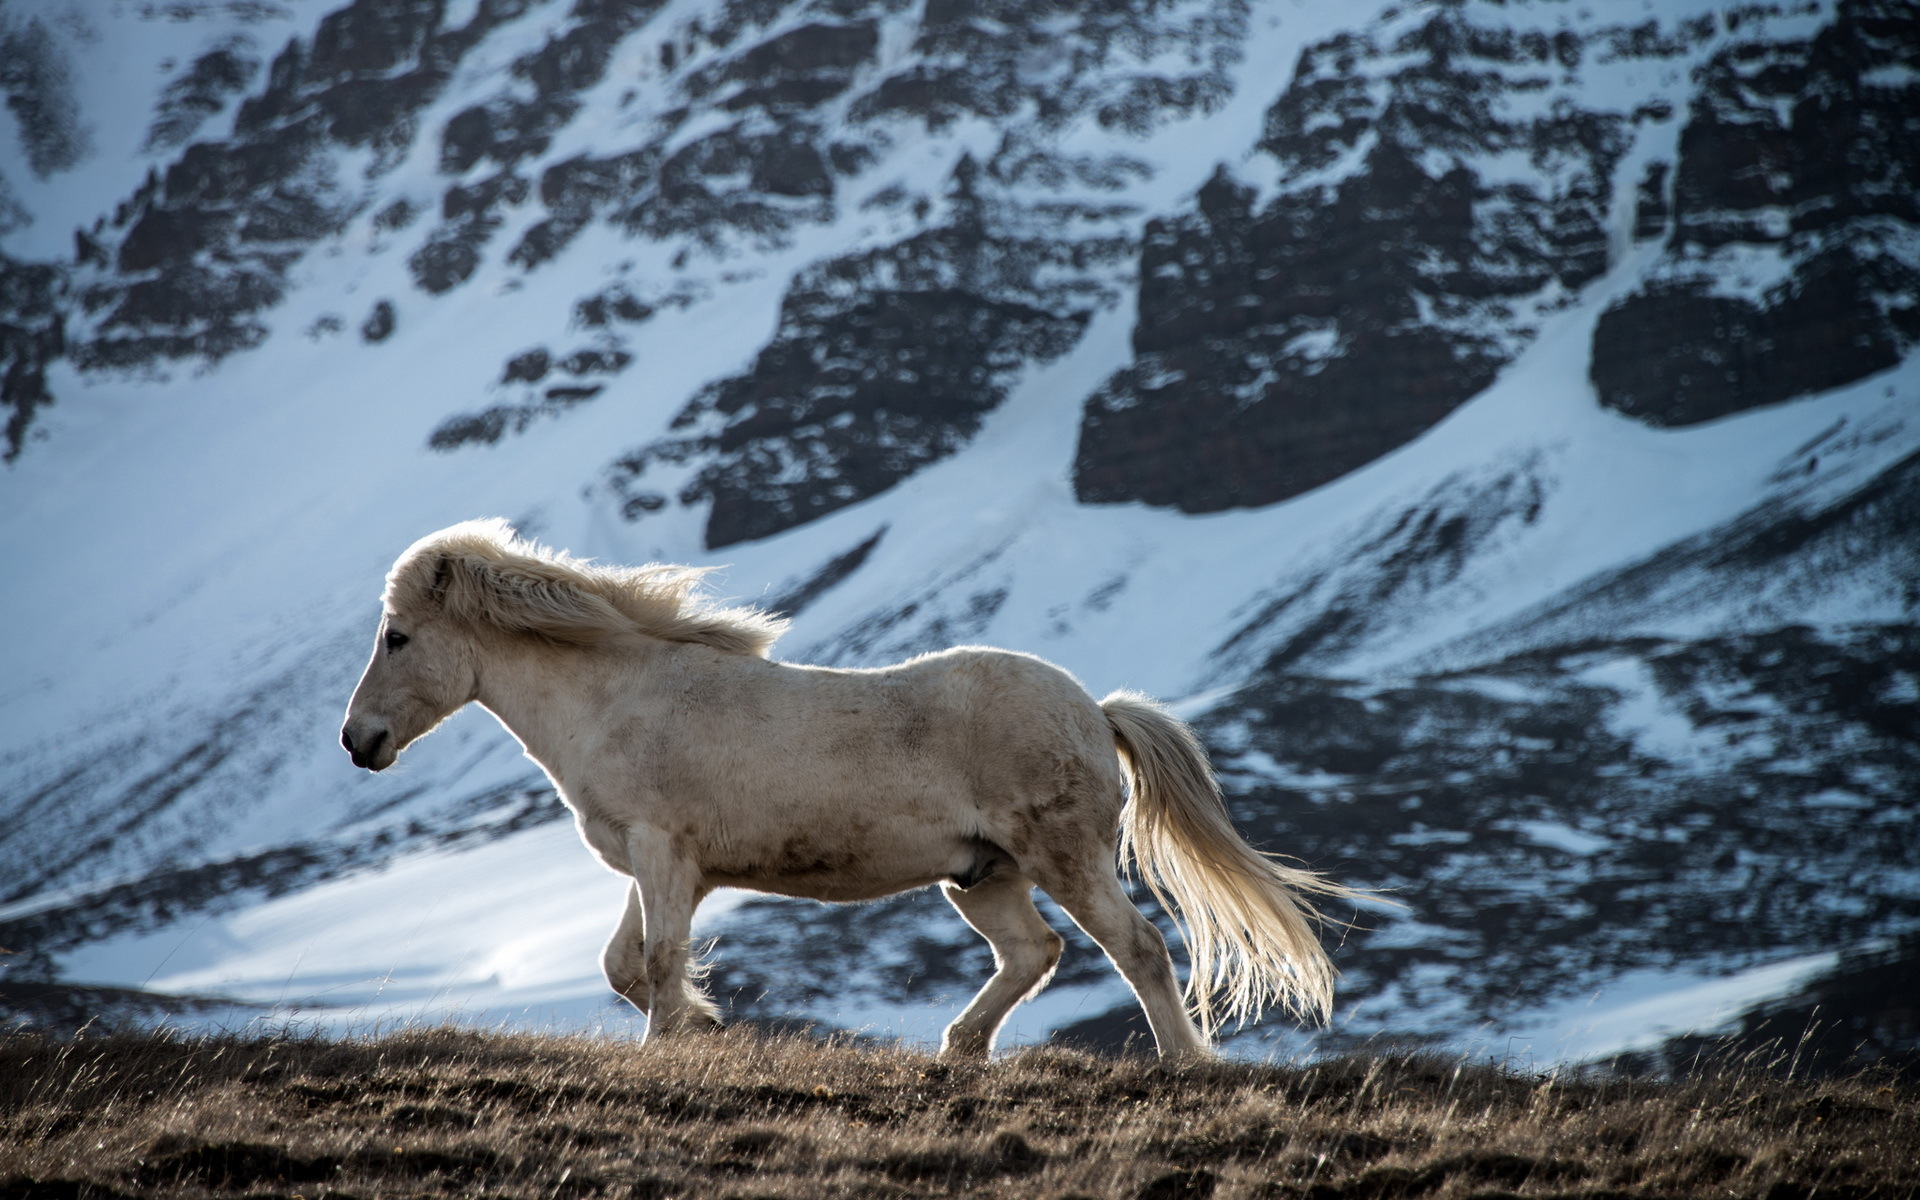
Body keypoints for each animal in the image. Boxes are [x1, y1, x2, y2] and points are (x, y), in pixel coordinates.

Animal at [345, 518, 1367, 1052]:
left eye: (398, 636)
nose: (361, 742)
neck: (620, 695)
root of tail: (1095, 708)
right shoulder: (657, 865)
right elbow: (625, 966)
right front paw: (708, 1032)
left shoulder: (663, 854)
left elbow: (660, 963)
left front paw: (674, 1049)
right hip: (982, 875)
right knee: (1031, 954)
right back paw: (958, 1054)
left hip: (1064, 859)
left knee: (1140, 950)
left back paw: (1184, 1067)